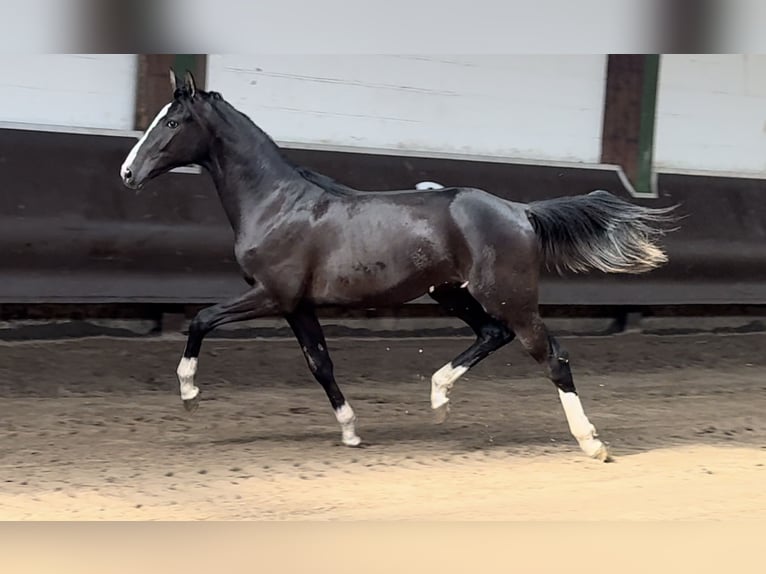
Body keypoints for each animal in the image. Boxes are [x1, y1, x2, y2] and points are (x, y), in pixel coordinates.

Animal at [117, 71, 676, 464]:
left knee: (552, 356)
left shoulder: (270, 294)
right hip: (451, 291)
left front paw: (189, 394)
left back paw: (592, 443)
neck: (278, 204)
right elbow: (320, 363)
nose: (127, 173)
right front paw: (351, 431)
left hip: (508, 295)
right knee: (492, 334)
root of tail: (520, 210)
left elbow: (201, 319)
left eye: (171, 122)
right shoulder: (297, 306)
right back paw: (439, 399)